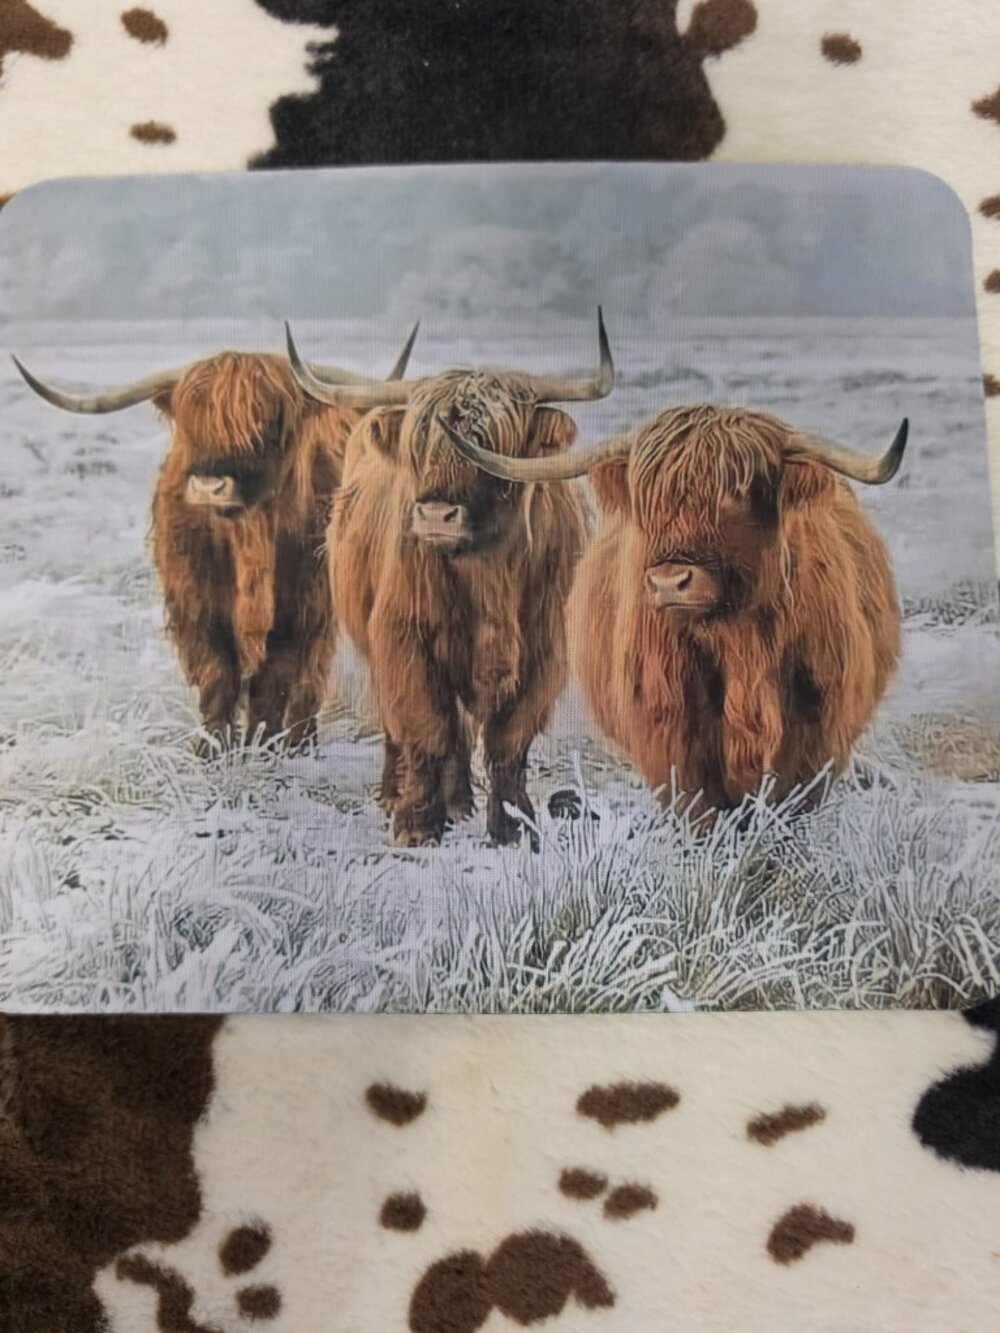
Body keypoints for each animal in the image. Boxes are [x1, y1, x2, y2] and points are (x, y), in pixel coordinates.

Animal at [13, 331, 417, 753]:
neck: (248, 536)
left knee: (309, 680)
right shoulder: (196, 604)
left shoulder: (301, 606)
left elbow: (275, 680)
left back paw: (302, 743)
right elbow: (216, 674)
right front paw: (211, 749)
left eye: (268, 423)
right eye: (191, 424)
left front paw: (264, 745)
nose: (209, 486)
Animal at [284, 313, 615, 847]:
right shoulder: (404, 641)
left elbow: (508, 741)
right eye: (418, 445)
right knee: (409, 727)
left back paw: (459, 803)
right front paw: (416, 824)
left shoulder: (544, 653)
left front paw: (513, 826)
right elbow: (426, 728)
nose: (437, 515)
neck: (488, 574)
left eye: (490, 445)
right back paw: (400, 795)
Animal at [442, 403, 908, 816]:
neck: (741, 646)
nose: (669, 580)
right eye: (647, 500)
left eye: (736, 495)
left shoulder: (816, 742)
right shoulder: (672, 743)